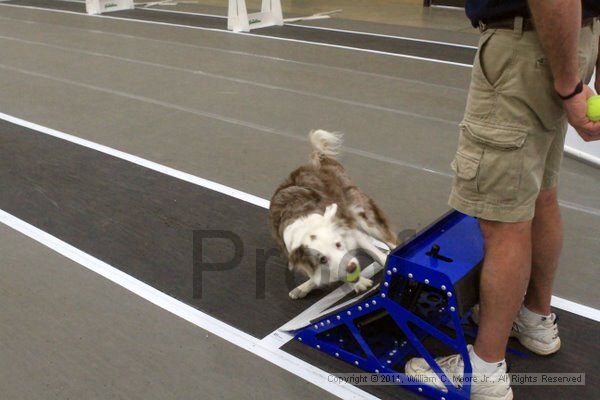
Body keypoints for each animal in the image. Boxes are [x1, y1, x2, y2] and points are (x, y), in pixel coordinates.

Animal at [270, 130, 396, 298]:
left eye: (338, 244)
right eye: (322, 259)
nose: (351, 267)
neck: (307, 226)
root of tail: (320, 160)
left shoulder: (351, 231)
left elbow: (375, 252)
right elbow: (323, 276)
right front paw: (357, 282)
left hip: (362, 214)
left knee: (390, 239)